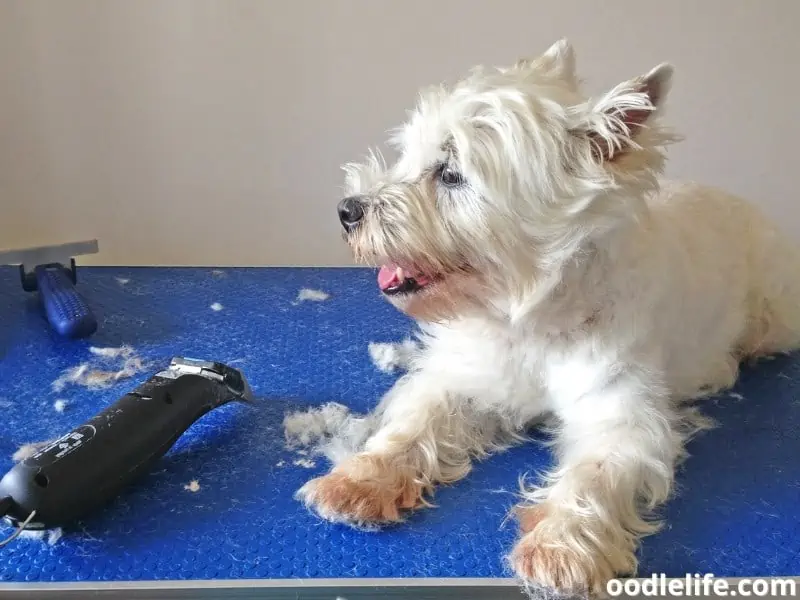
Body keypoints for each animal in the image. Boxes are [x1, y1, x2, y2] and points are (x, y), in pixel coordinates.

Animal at [296, 38, 800, 596]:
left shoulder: (624, 417)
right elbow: (411, 426)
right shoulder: (463, 378)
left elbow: (594, 475)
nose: (347, 210)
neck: (529, 321)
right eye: (410, 153)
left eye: (451, 173)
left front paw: (559, 547)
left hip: (773, 311)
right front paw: (356, 481)